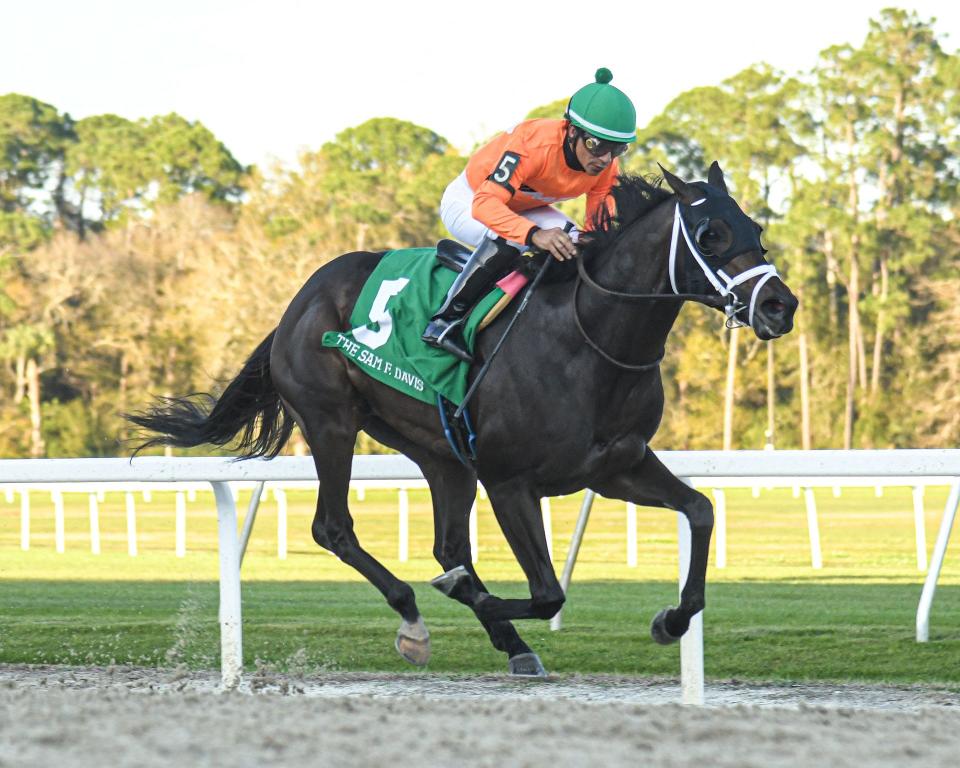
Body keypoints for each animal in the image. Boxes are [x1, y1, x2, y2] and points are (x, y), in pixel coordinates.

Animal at [131, 160, 800, 672]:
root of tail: (298, 301)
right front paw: (476, 603)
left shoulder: (615, 467)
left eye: (755, 226)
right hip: (332, 422)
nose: (779, 304)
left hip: (441, 452)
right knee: (335, 528)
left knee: (447, 543)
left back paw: (503, 638)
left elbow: (701, 511)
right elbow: (548, 593)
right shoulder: (510, 482)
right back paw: (415, 618)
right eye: (711, 234)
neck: (589, 338)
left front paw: (672, 619)